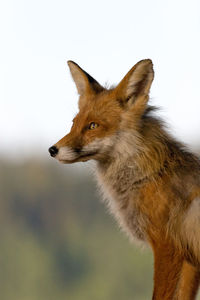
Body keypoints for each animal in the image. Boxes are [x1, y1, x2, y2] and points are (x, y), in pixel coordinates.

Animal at [48, 59, 200, 298]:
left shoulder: (168, 247)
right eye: (74, 123)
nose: (52, 150)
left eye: (93, 125)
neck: (150, 177)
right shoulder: (189, 260)